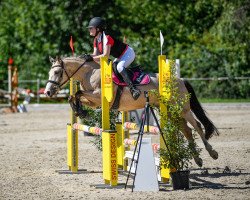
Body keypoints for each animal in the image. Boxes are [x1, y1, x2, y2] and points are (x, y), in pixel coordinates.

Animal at [44, 56, 219, 167]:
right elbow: (74, 96)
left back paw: (212, 153)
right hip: (170, 111)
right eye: (49, 72)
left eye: (57, 72)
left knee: (196, 125)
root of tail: (180, 80)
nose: (48, 92)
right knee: (187, 130)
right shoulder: (94, 101)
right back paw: (198, 160)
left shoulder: (99, 96)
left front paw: (80, 111)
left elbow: (78, 94)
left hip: (182, 109)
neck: (90, 73)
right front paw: (80, 111)